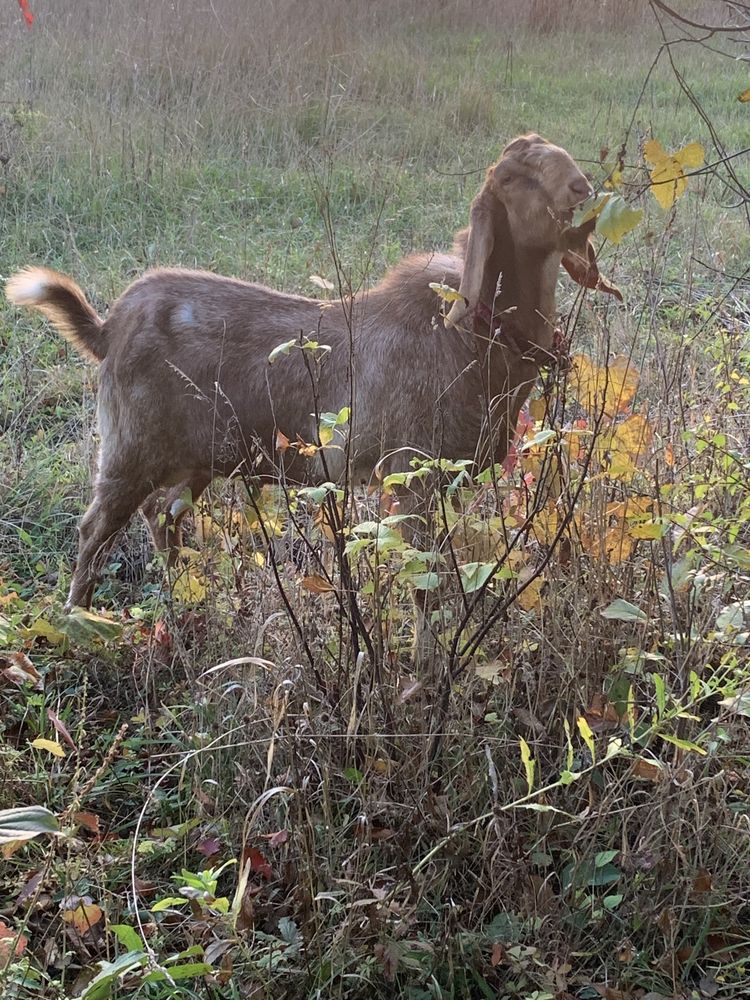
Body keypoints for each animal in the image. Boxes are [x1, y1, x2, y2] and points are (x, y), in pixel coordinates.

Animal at [7, 133, 624, 608]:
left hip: (201, 455)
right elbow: (426, 586)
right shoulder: (411, 474)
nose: (581, 188)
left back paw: (186, 601)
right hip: (130, 449)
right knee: (94, 531)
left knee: (164, 516)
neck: (470, 333)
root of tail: (107, 326)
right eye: (514, 179)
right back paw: (81, 619)